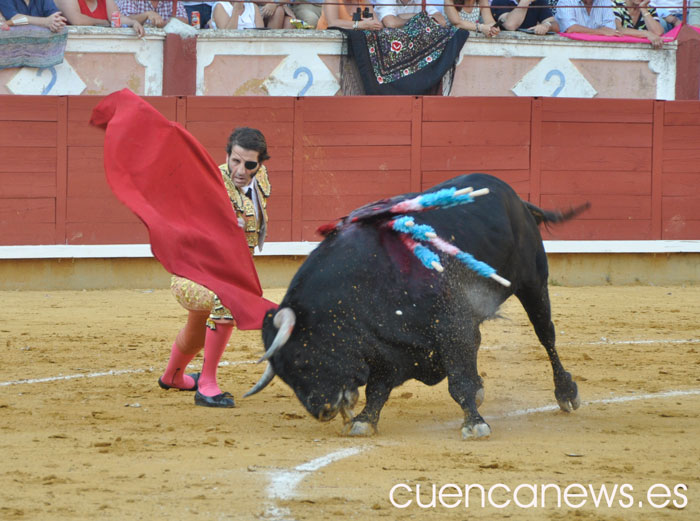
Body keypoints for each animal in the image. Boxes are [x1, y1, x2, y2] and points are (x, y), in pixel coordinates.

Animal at [247, 175, 592, 438]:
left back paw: (566, 393)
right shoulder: (387, 342)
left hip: (533, 283)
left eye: (302, 359)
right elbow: (378, 387)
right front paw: (364, 421)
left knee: (546, 335)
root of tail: (515, 198)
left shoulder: (451, 326)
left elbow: (459, 380)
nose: (323, 410)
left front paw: (474, 424)